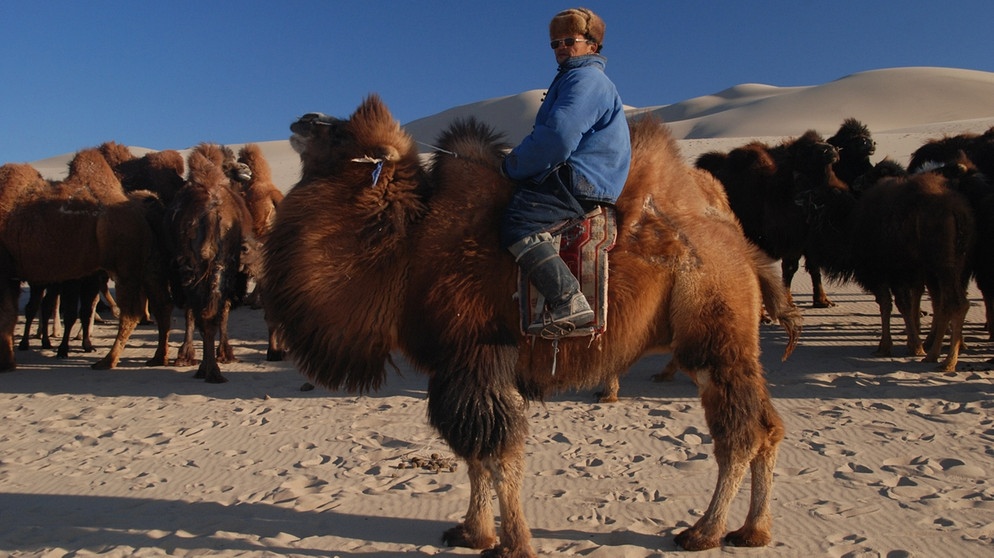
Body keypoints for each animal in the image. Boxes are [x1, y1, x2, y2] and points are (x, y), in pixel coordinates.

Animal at [0, 149, 171, 372]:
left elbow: (6, 315)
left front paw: (6, 363)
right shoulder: (11, 275)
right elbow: (9, 315)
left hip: (125, 265)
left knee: (131, 312)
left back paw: (107, 360)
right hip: (150, 265)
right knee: (162, 305)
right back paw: (158, 358)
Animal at [262, 96, 792, 556]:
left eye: (341, 133)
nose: (303, 119)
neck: (408, 249)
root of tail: (736, 241)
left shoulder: (477, 356)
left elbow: (497, 455)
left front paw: (513, 544)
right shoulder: (460, 368)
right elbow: (475, 457)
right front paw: (472, 533)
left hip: (713, 339)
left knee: (739, 436)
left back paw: (703, 532)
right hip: (733, 346)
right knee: (768, 428)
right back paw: (754, 531)